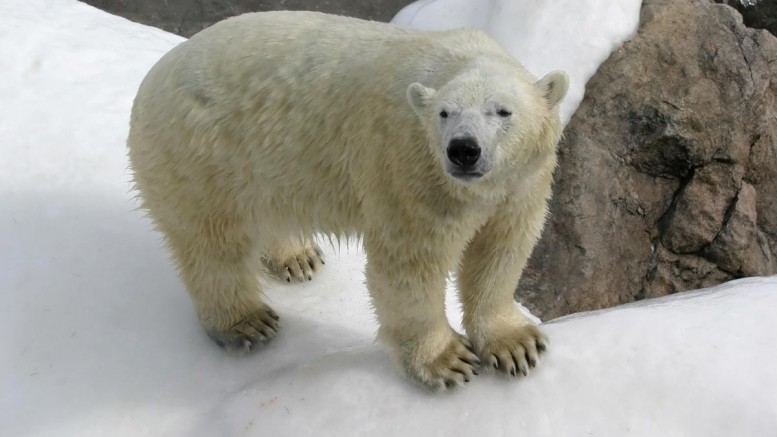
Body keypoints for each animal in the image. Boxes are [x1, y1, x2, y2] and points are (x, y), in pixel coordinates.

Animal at [126, 11, 564, 392]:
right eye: (444, 113)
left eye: (503, 111)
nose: (463, 150)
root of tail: (152, 76)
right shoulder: (409, 169)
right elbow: (410, 266)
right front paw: (447, 361)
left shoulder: (523, 185)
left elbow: (501, 252)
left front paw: (516, 345)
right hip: (202, 155)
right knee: (215, 246)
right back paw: (245, 323)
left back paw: (296, 257)